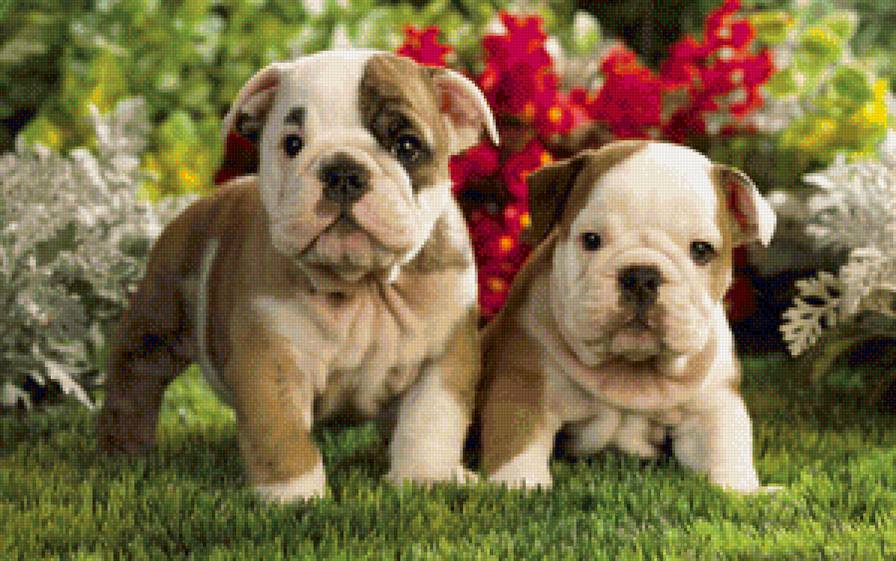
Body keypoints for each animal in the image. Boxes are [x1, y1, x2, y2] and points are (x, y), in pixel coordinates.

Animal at [97, 49, 498, 502]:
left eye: (407, 146)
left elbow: (429, 425)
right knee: (133, 385)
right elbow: (282, 436)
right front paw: (296, 498)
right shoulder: (271, 362)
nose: (343, 171)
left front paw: (424, 480)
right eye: (292, 144)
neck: (361, 285)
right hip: (154, 328)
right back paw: (123, 453)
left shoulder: (444, 357)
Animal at [477, 140, 776, 493]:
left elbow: (725, 444)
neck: (630, 371)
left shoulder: (713, 402)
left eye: (701, 250)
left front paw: (742, 491)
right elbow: (518, 439)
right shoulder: (526, 383)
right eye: (591, 240)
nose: (642, 275)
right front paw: (519, 485)